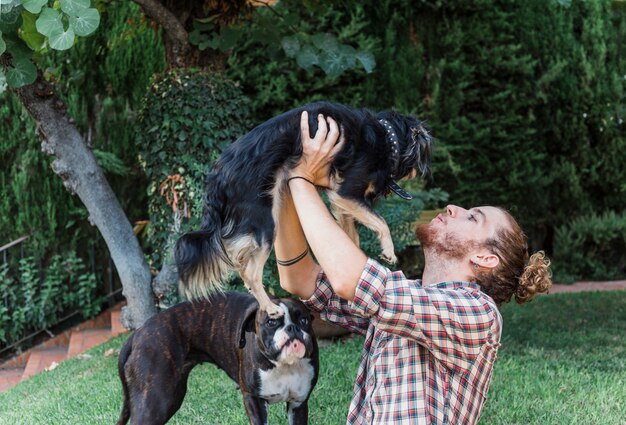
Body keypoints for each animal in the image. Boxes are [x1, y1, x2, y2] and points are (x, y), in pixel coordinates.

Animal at [116, 292, 316, 424]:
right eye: (271, 322)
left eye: (304, 320)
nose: (292, 328)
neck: (284, 365)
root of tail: (138, 333)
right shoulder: (253, 400)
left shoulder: (298, 404)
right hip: (156, 401)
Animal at [173, 101, 432, 316]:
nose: (422, 174)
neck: (386, 138)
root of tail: (217, 175)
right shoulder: (346, 192)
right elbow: (381, 221)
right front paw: (388, 250)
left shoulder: (341, 201)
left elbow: (352, 238)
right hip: (264, 223)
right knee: (251, 273)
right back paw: (270, 308)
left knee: (240, 264)